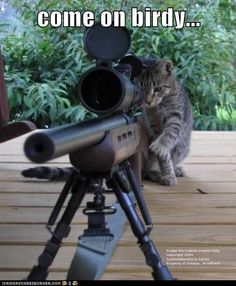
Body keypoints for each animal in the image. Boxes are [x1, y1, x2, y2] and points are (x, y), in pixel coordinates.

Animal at [21, 59, 192, 187]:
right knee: (145, 170)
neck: (158, 106)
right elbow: (163, 156)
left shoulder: (176, 117)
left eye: (157, 88)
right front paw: (166, 171)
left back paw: (174, 169)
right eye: (142, 88)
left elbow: (169, 136)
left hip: (183, 148)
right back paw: (155, 173)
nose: (148, 101)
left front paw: (163, 156)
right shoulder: (153, 125)